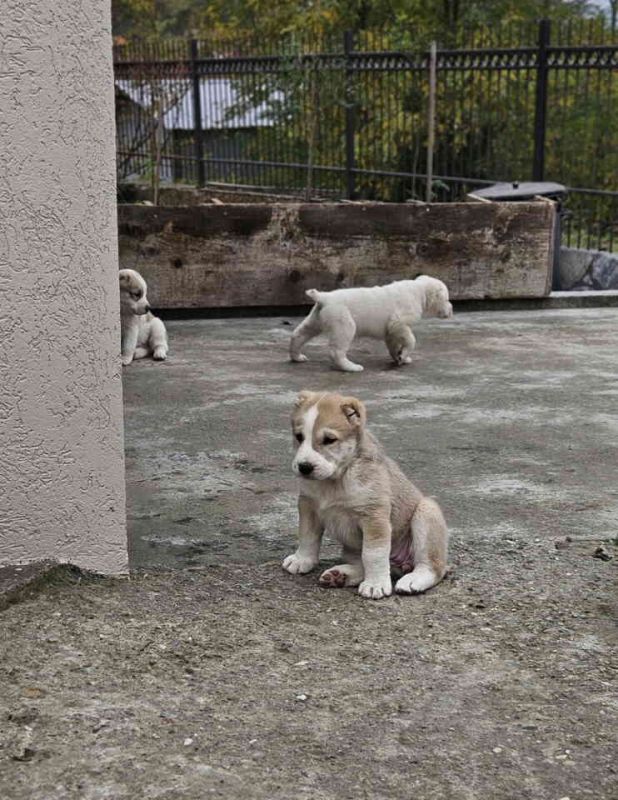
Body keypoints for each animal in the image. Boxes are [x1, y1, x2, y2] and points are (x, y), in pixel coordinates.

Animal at [282, 390, 448, 604]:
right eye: (299, 437)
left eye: (329, 440)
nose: (304, 467)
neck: (337, 479)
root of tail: (401, 565)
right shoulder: (308, 506)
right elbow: (307, 535)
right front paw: (302, 559)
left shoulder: (373, 517)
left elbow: (373, 554)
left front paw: (375, 584)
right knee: (365, 564)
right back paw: (339, 575)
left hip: (426, 512)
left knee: (432, 566)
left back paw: (413, 580)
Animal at [288, 276, 452, 372]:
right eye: (447, 299)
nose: (451, 311)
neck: (419, 290)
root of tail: (324, 297)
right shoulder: (399, 320)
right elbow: (408, 336)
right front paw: (404, 354)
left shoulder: (391, 328)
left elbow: (392, 340)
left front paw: (400, 357)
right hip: (342, 318)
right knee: (338, 346)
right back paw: (352, 367)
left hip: (317, 316)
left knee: (302, 332)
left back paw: (297, 356)